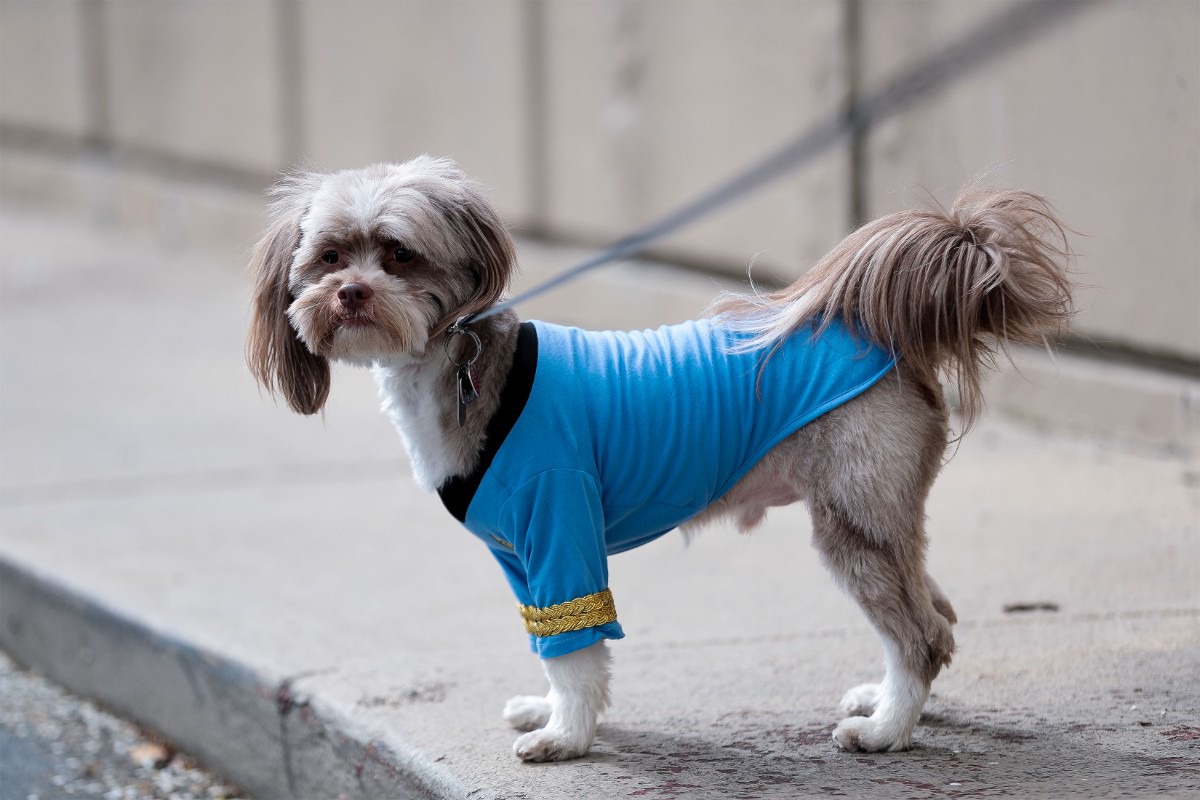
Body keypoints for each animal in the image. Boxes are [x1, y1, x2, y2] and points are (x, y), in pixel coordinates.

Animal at [243, 155, 1070, 762]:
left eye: (399, 254)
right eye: (328, 255)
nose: (348, 293)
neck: (459, 367)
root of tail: (878, 332)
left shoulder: (559, 524)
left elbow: (575, 649)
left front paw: (567, 736)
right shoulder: (523, 557)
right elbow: (553, 643)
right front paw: (552, 712)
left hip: (852, 521)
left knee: (920, 634)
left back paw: (888, 730)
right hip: (884, 518)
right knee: (938, 616)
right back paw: (893, 702)